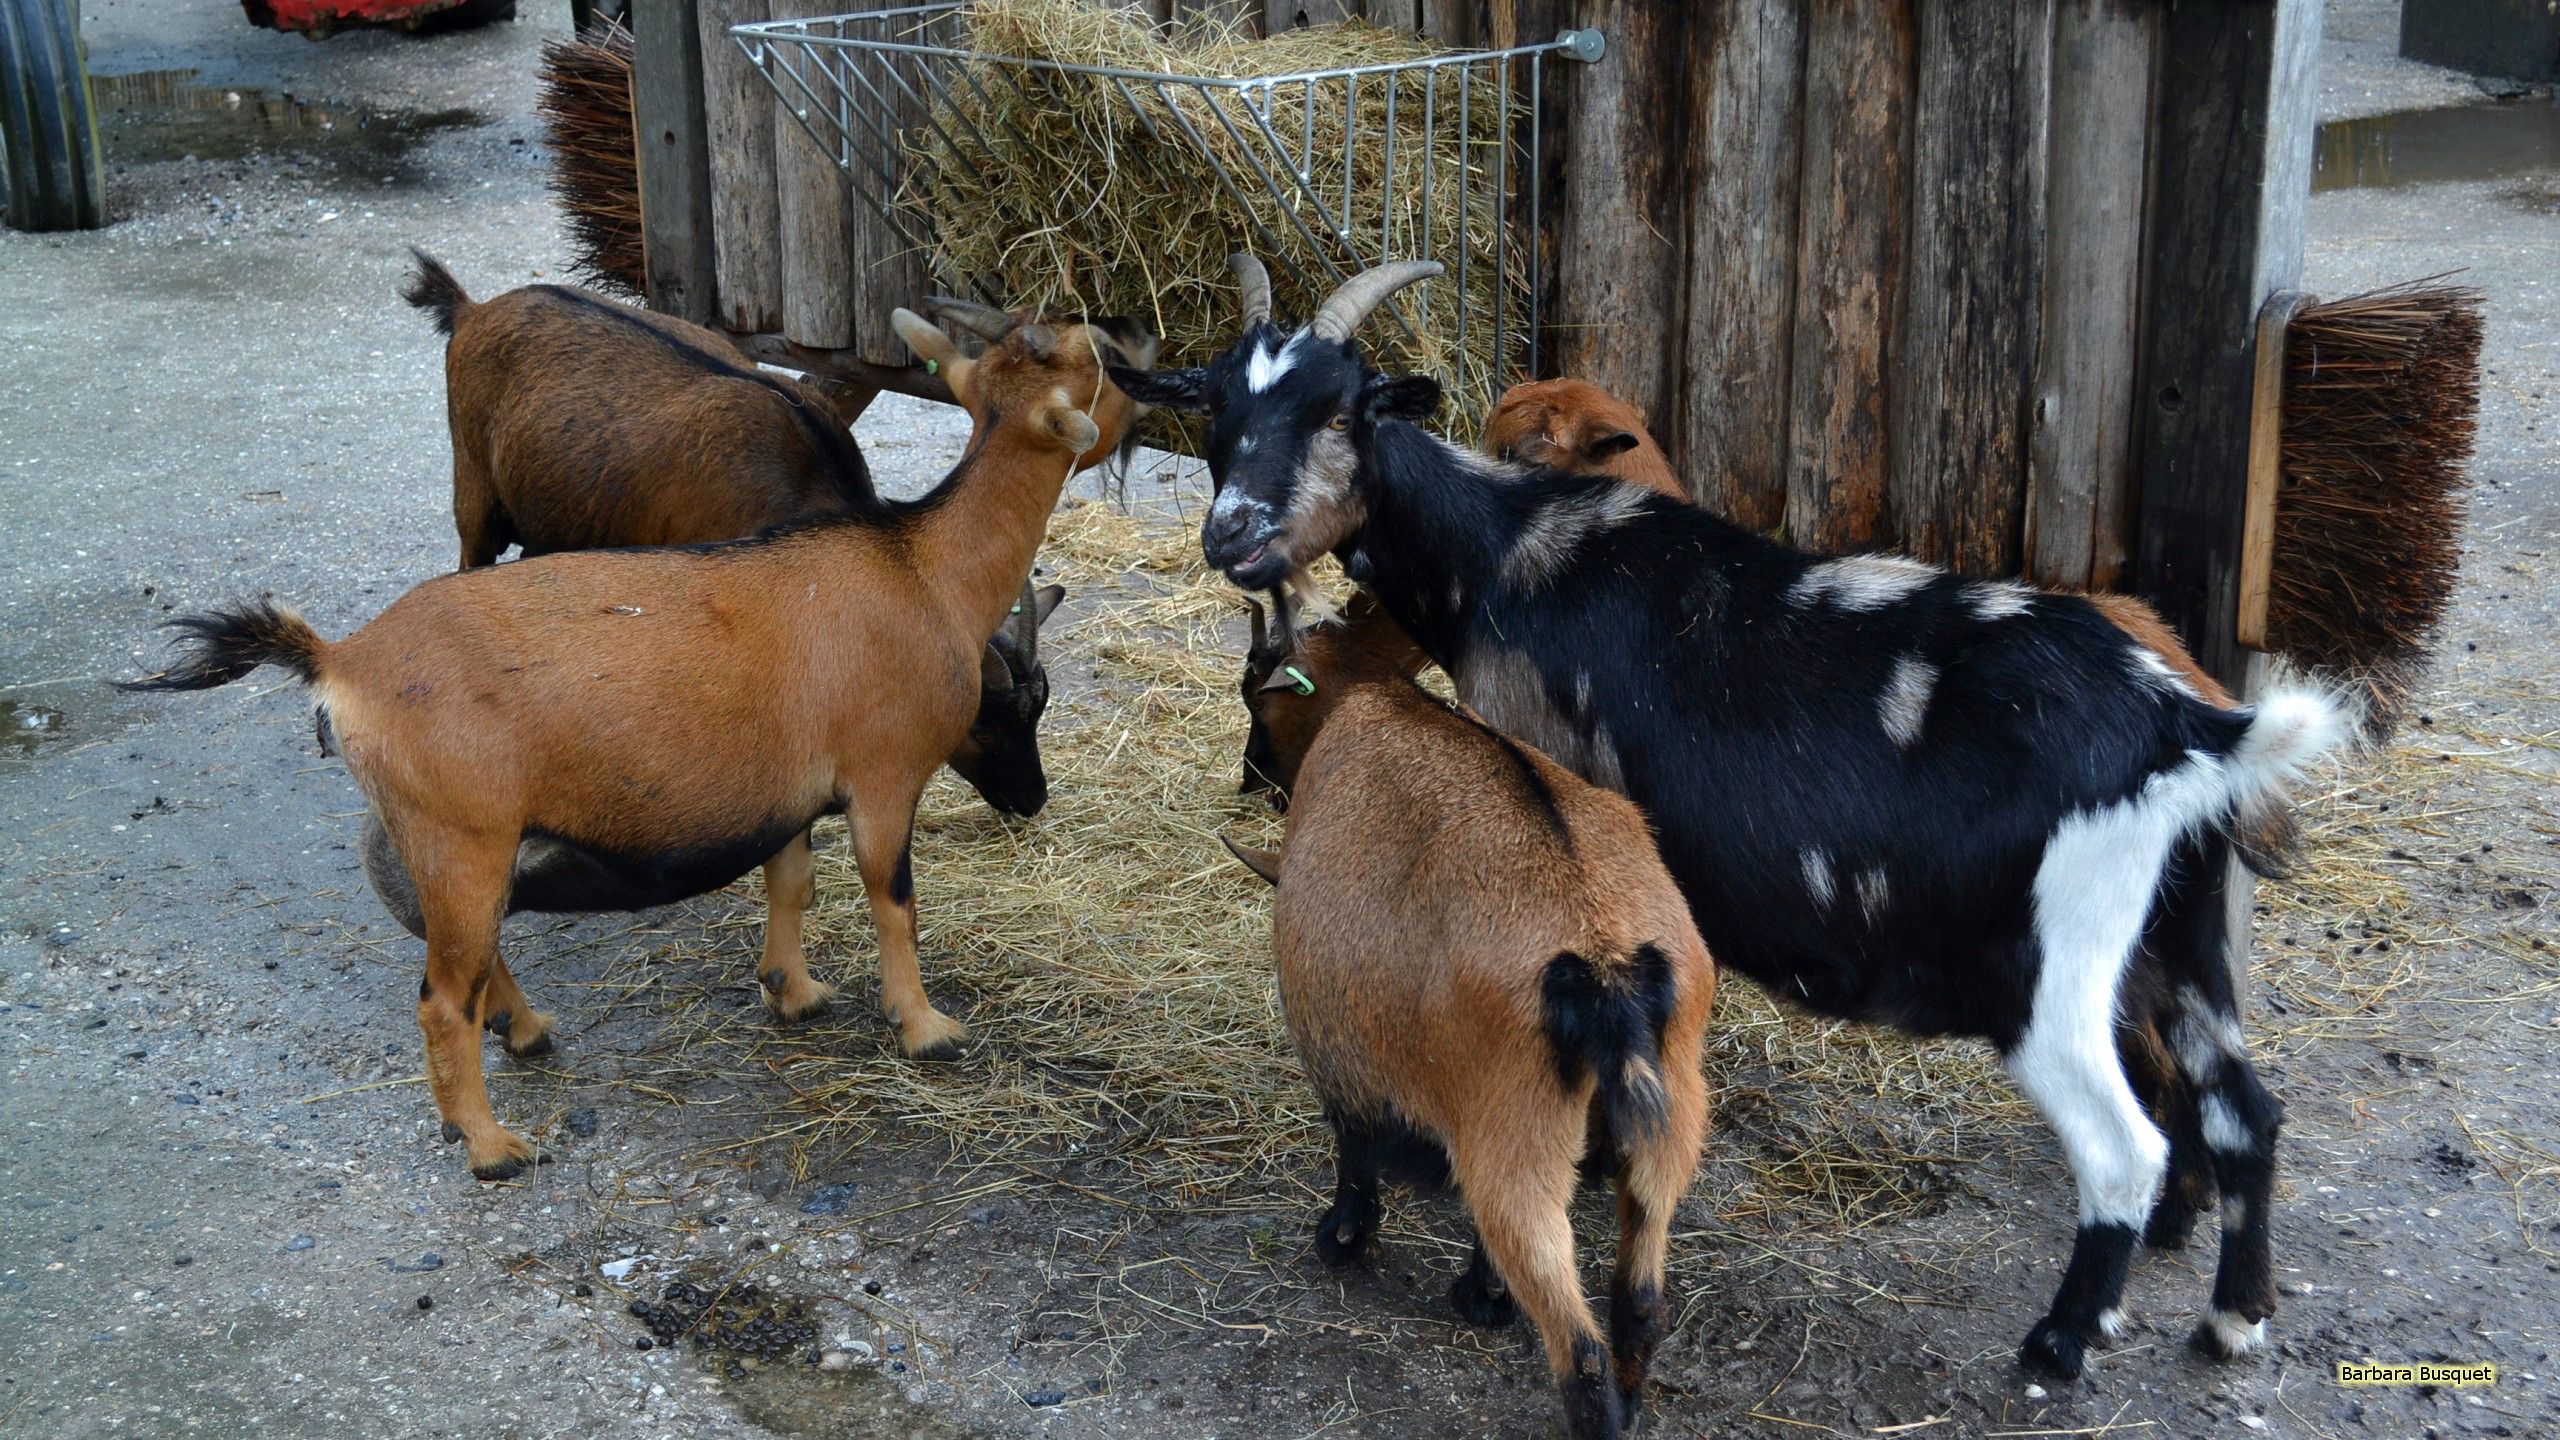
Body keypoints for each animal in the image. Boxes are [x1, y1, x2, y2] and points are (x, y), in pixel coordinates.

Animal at [121, 308, 1150, 1180]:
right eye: (1095, 367)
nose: (1152, 380)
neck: (923, 567)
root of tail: (339, 661)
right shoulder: (886, 774)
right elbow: (890, 898)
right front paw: (927, 1028)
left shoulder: (788, 787)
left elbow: (791, 881)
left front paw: (794, 992)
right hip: (461, 830)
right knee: (441, 995)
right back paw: (490, 1145)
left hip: (454, 837)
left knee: (467, 951)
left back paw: (527, 1031)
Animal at [1220, 594, 1713, 1440]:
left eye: (1259, 698)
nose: (1254, 781)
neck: (1378, 702)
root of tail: (1607, 968)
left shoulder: (1336, 1041)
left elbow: (1354, 1147)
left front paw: (1344, 1240)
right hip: (1668, 1117)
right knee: (1641, 1302)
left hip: (1515, 1129)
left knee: (1573, 1335)